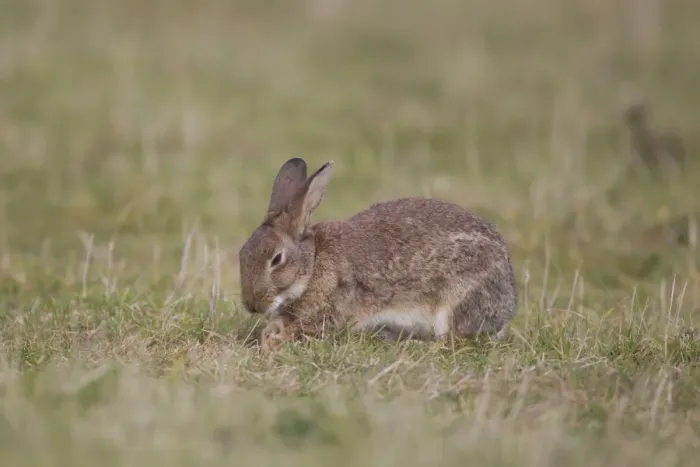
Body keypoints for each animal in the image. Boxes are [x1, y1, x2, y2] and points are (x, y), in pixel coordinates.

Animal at [238, 157, 518, 351]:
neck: (313, 264)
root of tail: (508, 306)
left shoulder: (328, 310)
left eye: (277, 259)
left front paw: (273, 343)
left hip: (456, 300)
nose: (252, 306)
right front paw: (268, 334)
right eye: (242, 254)